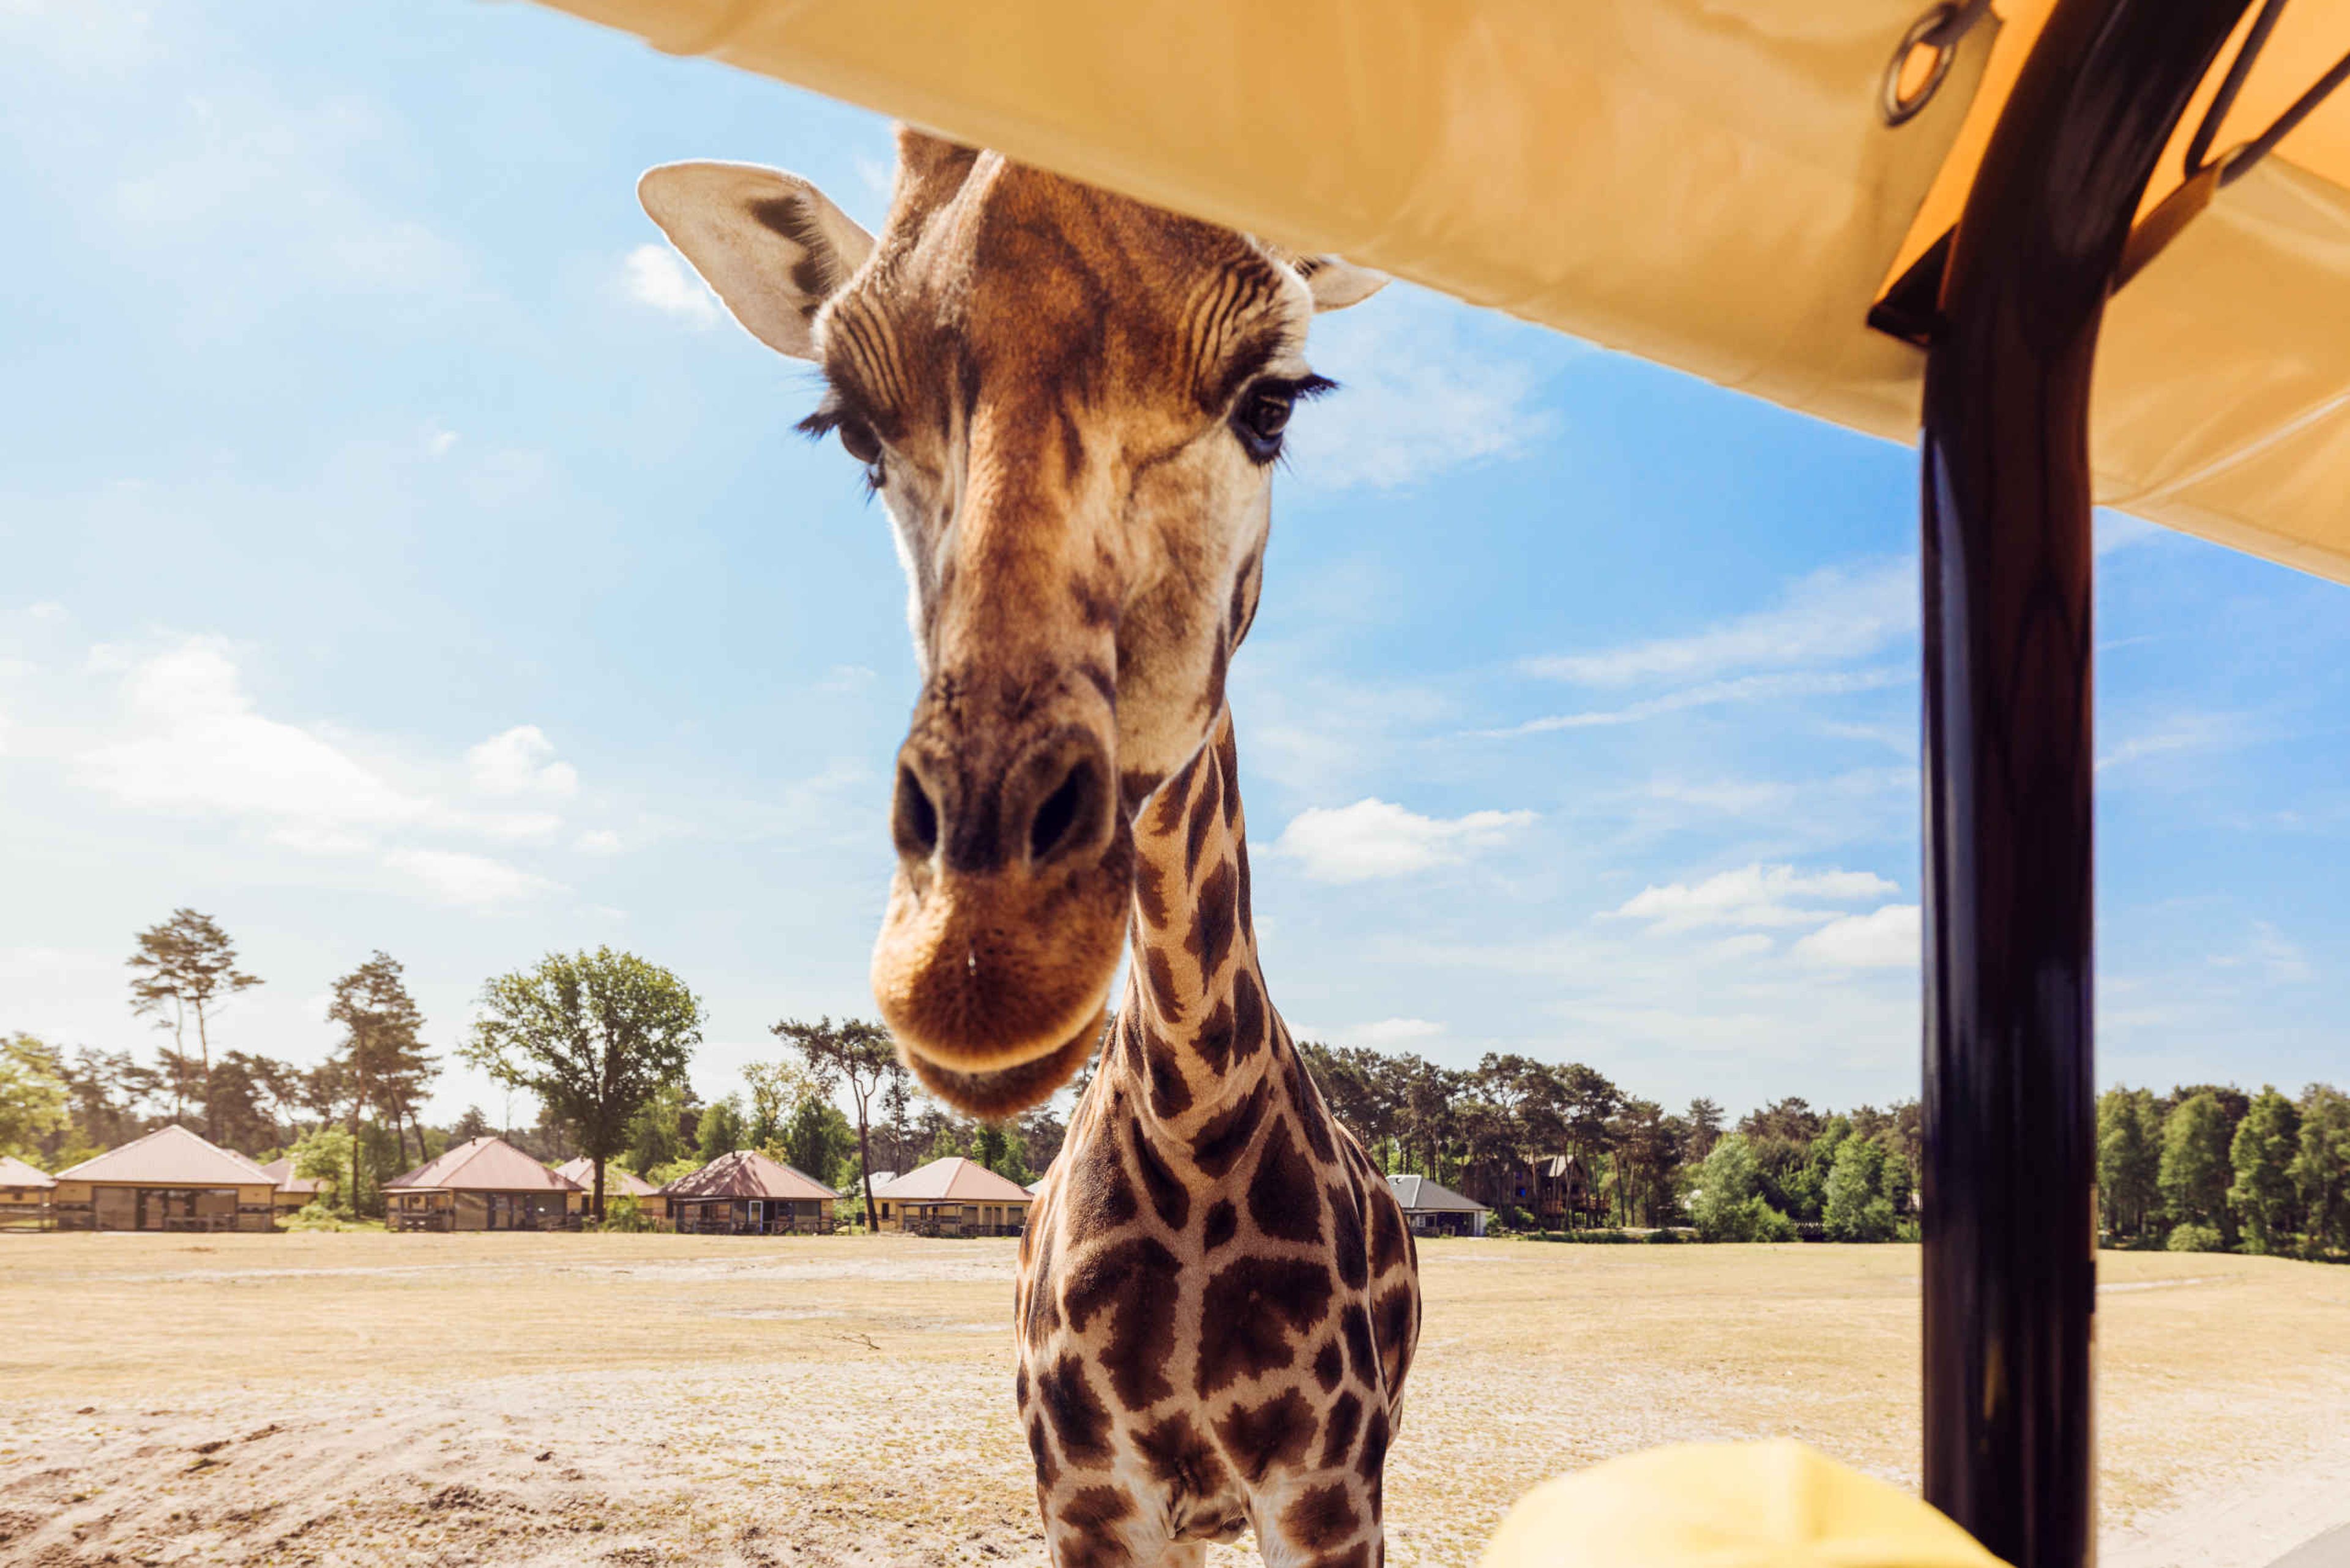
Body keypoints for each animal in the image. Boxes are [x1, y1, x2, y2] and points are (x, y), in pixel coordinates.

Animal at [641, 130, 1422, 1567]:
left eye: (1274, 400)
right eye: (850, 425)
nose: (978, 955)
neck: (1190, 1132)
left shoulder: (1331, 1492)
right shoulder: (1092, 1494)